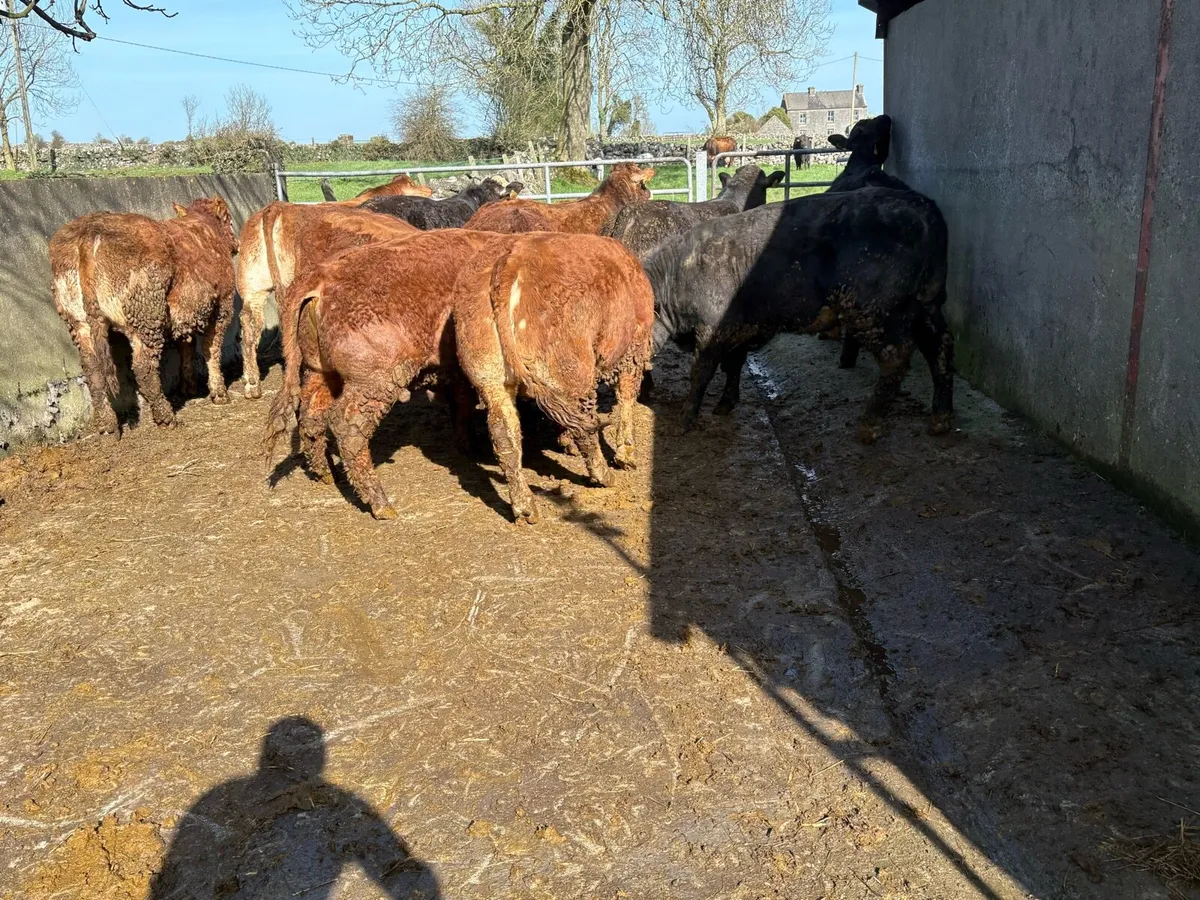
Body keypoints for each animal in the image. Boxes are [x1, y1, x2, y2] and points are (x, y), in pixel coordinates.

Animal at [50, 197, 238, 435]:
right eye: (229, 220)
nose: (237, 243)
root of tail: (89, 231)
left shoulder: (184, 314)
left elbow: (186, 347)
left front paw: (188, 387)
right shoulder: (222, 305)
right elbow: (210, 349)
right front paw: (219, 393)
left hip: (79, 321)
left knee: (92, 369)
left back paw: (107, 425)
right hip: (146, 314)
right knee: (143, 368)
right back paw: (166, 418)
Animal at [452, 233, 653, 524]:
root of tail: (511, 258)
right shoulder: (634, 349)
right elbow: (626, 399)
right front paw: (626, 454)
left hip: (491, 379)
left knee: (505, 434)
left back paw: (525, 507)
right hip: (571, 373)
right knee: (584, 427)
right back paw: (602, 474)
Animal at [643, 185, 953, 443]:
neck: (679, 273)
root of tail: (918, 202)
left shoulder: (712, 329)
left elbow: (701, 372)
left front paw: (686, 419)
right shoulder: (741, 328)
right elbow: (734, 365)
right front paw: (725, 403)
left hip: (875, 311)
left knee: (896, 356)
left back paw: (870, 425)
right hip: (926, 304)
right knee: (940, 346)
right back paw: (941, 418)